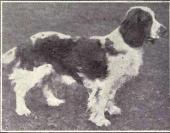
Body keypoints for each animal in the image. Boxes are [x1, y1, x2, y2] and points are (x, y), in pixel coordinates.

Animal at [2, 6, 167, 127]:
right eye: (147, 20)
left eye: (155, 17)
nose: (165, 30)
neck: (125, 44)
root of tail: (25, 42)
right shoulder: (104, 83)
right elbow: (101, 102)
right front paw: (100, 120)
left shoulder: (114, 82)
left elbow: (111, 97)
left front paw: (111, 109)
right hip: (33, 71)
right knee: (20, 89)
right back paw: (22, 110)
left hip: (49, 69)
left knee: (45, 86)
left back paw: (54, 101)